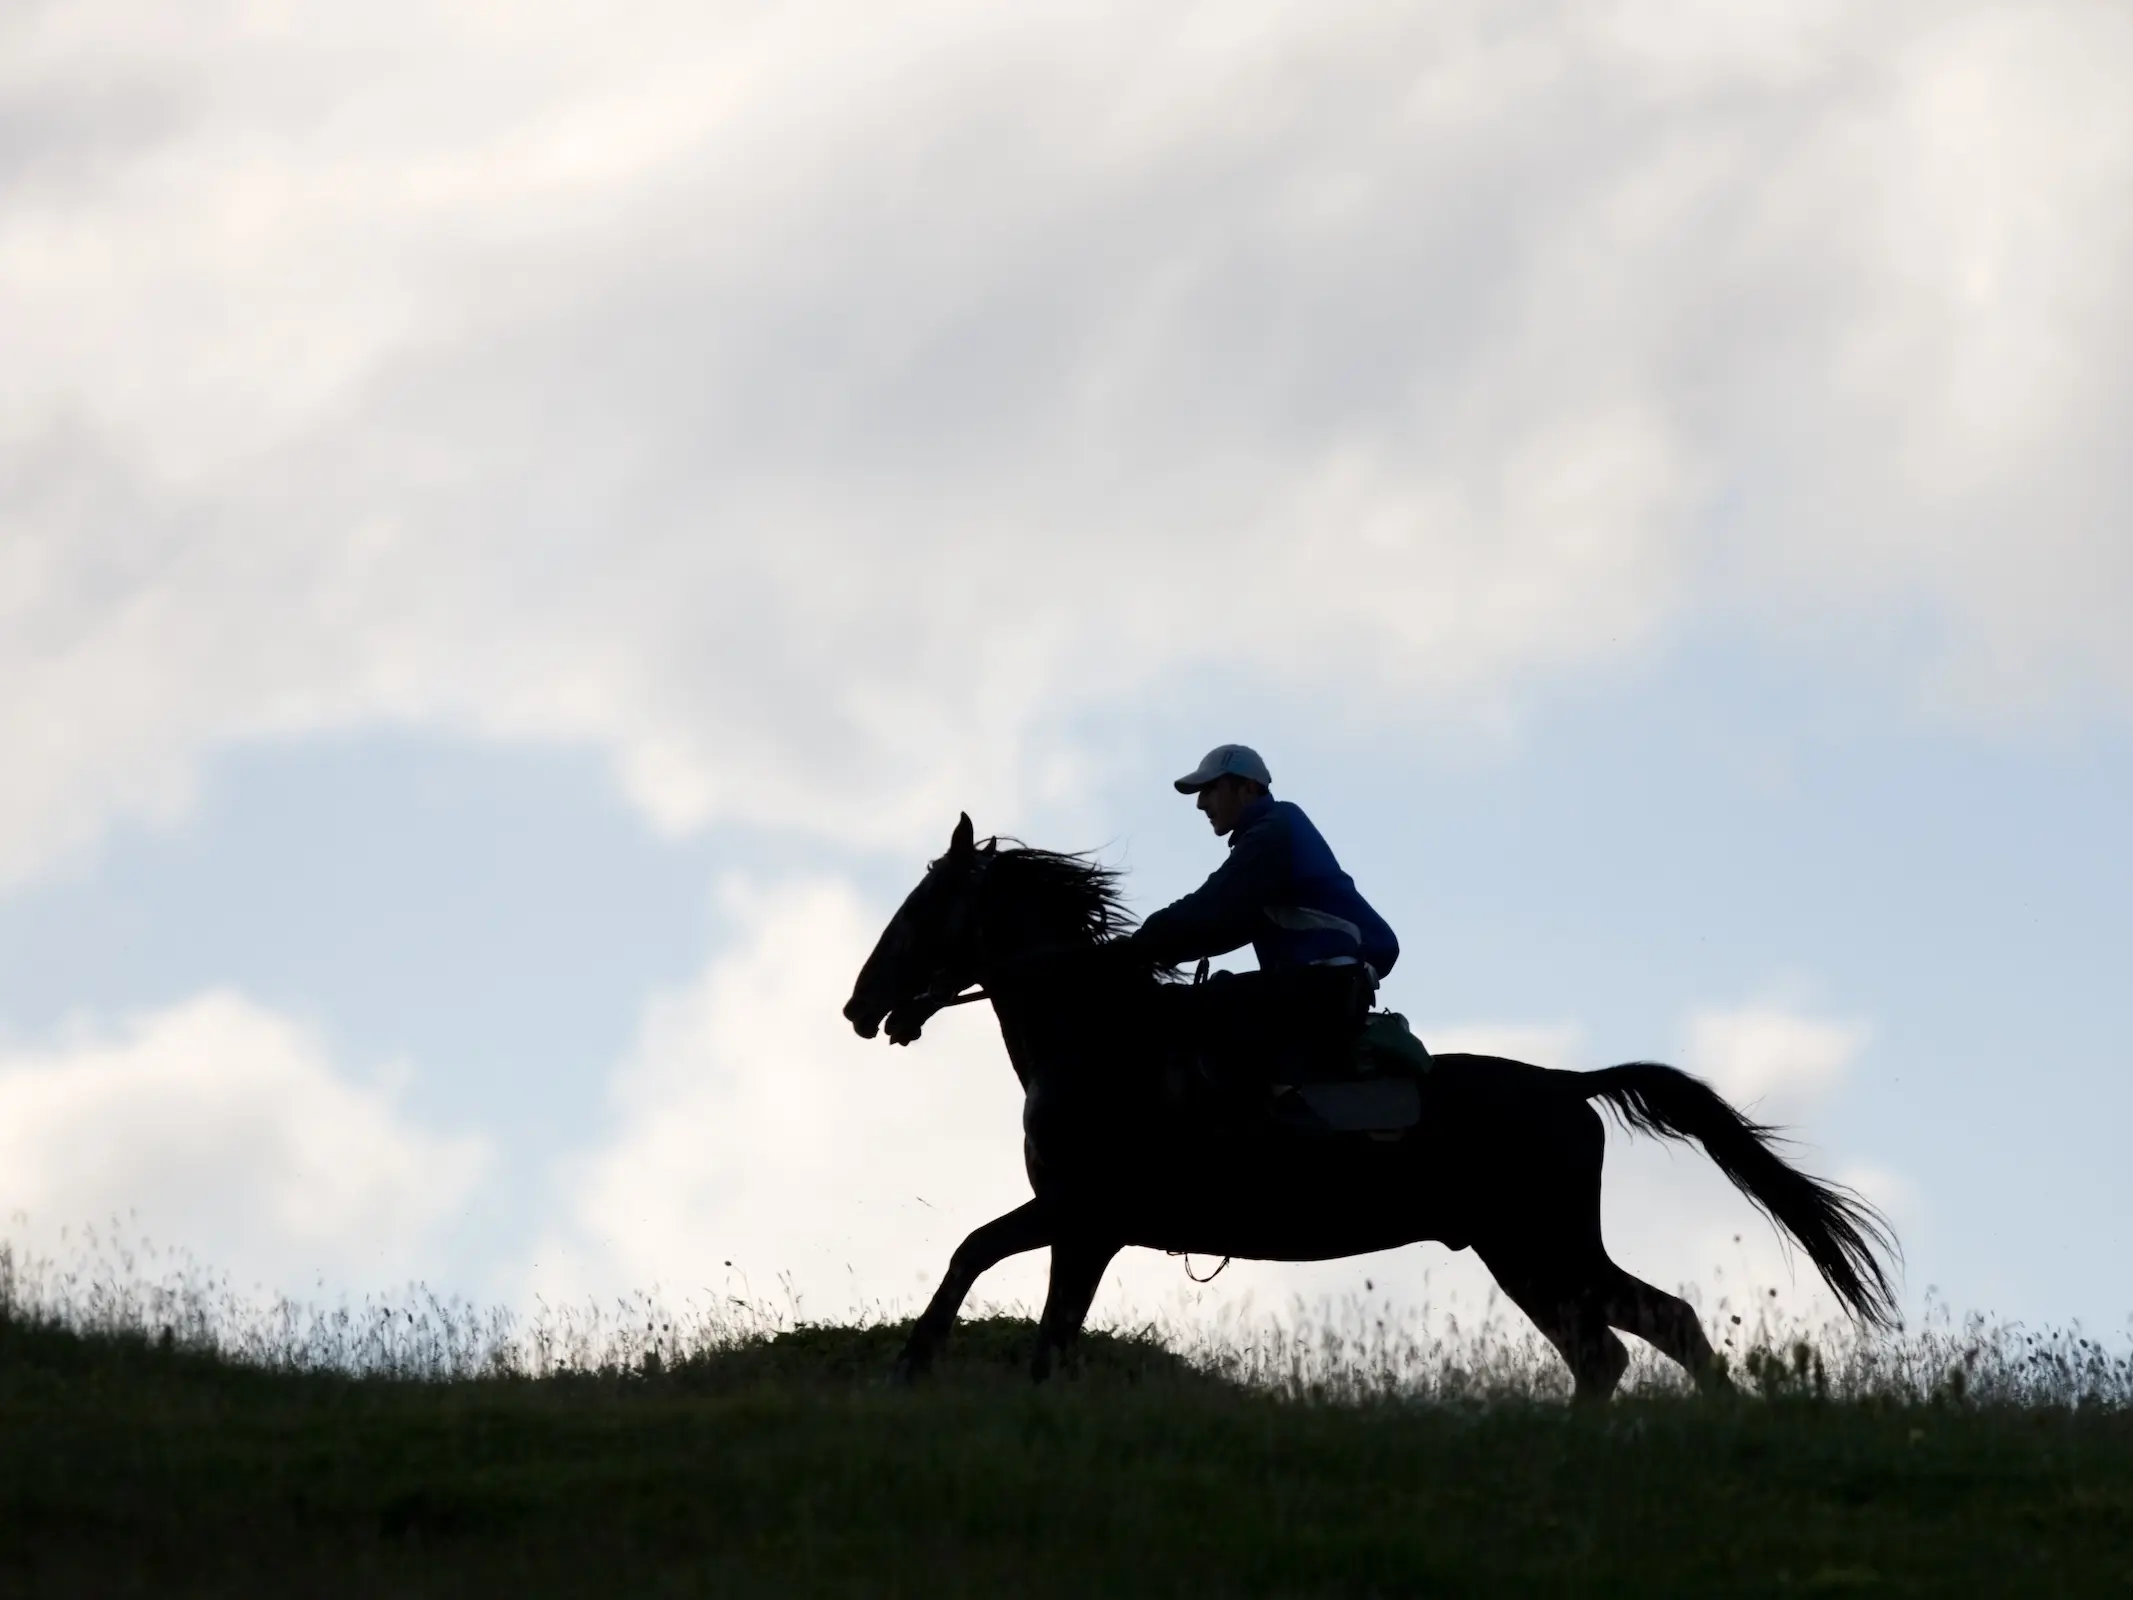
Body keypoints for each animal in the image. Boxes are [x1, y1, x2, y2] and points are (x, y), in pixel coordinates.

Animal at [836, 814, 1902, 1399]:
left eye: (921, 909)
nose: (859, 1006)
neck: (1099, 1037)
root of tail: (1568, 1085)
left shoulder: (1079, 1214)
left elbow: (974, 1256)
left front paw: (908, 1367)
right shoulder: (1085, 1228)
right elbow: (1040, 1326)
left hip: (1539, 1243)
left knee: (1641, 1331)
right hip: (1527, 1254)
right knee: (1614, 1346)